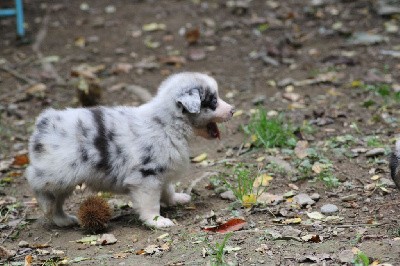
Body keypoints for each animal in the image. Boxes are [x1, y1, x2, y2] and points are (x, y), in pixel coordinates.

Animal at [25, 72, 234, 229]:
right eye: (213, 101)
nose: (232, 110)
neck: (167, 124)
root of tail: (44, 121)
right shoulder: (147, 176)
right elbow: (150, 204)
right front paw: (157, 221)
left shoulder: (161, 171)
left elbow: (167, 189)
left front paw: (176, 199)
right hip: (58, 173)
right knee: (36, 182)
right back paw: (46, 205)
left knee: (57, 202)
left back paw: (63, 220)